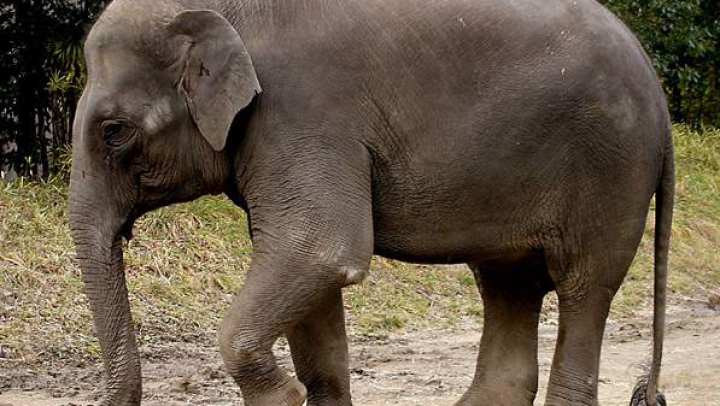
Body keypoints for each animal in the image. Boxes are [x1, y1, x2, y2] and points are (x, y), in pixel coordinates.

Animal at [69, 0, 676, 406]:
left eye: (114, 131)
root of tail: (659, 92)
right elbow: (313, 287)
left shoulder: (303, 114)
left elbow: (320, 250)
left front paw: (279, 395)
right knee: (509, 287)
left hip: (612, 171)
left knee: (583, 290)